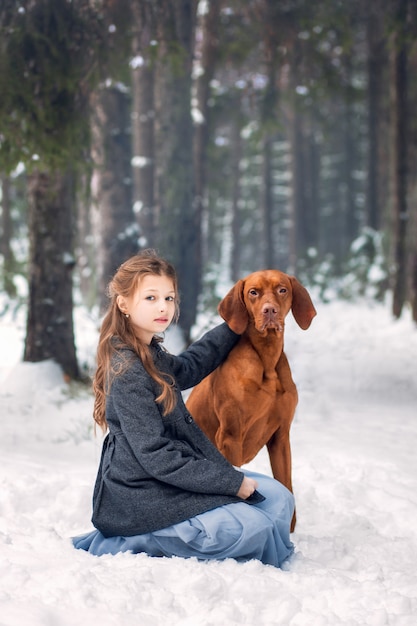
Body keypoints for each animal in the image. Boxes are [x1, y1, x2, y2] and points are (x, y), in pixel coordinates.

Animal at [185, 266, 316, 528]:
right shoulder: (230, 435)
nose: (270, 311)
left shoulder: (281, 436)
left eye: (282, 290)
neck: (267, 360)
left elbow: (286, 485)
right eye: (253, 292)